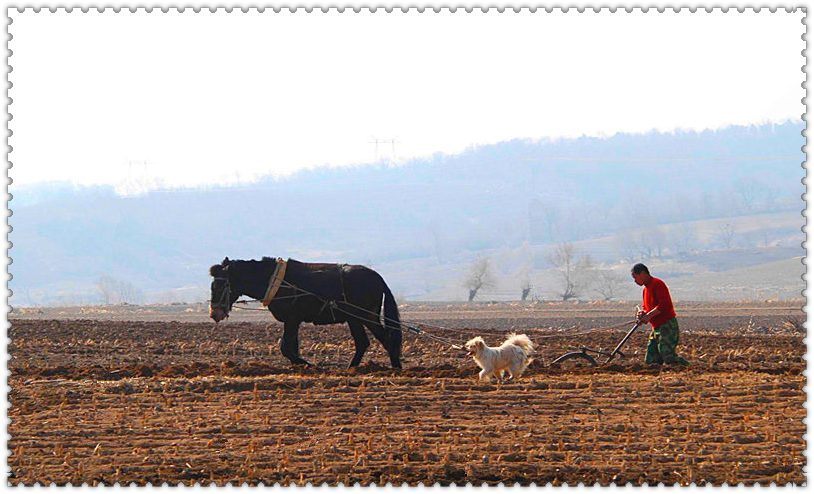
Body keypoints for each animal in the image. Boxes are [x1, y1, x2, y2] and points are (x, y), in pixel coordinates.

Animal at [209, 258, 404, 366]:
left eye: (220, 285)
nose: (214, 313)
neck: (276, 281)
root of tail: (378, 278)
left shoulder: (292, 319)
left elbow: (286, 349)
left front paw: (309, 365)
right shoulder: (293, 321)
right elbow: (291, 348)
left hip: (367, 316)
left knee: (387, 340)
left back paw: (396, 368)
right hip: (354, 319)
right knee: (363, 343)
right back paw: (352, 368)